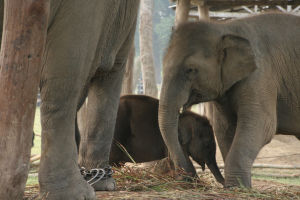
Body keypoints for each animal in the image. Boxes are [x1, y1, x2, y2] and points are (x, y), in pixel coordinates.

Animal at [158, 13, 298, 188]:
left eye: (190, 70)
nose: (190, 178)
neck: (225, 28)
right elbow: (225, 127)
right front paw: (236, 186)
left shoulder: (261, 76)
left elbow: (261, 124)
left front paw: (236, 187)